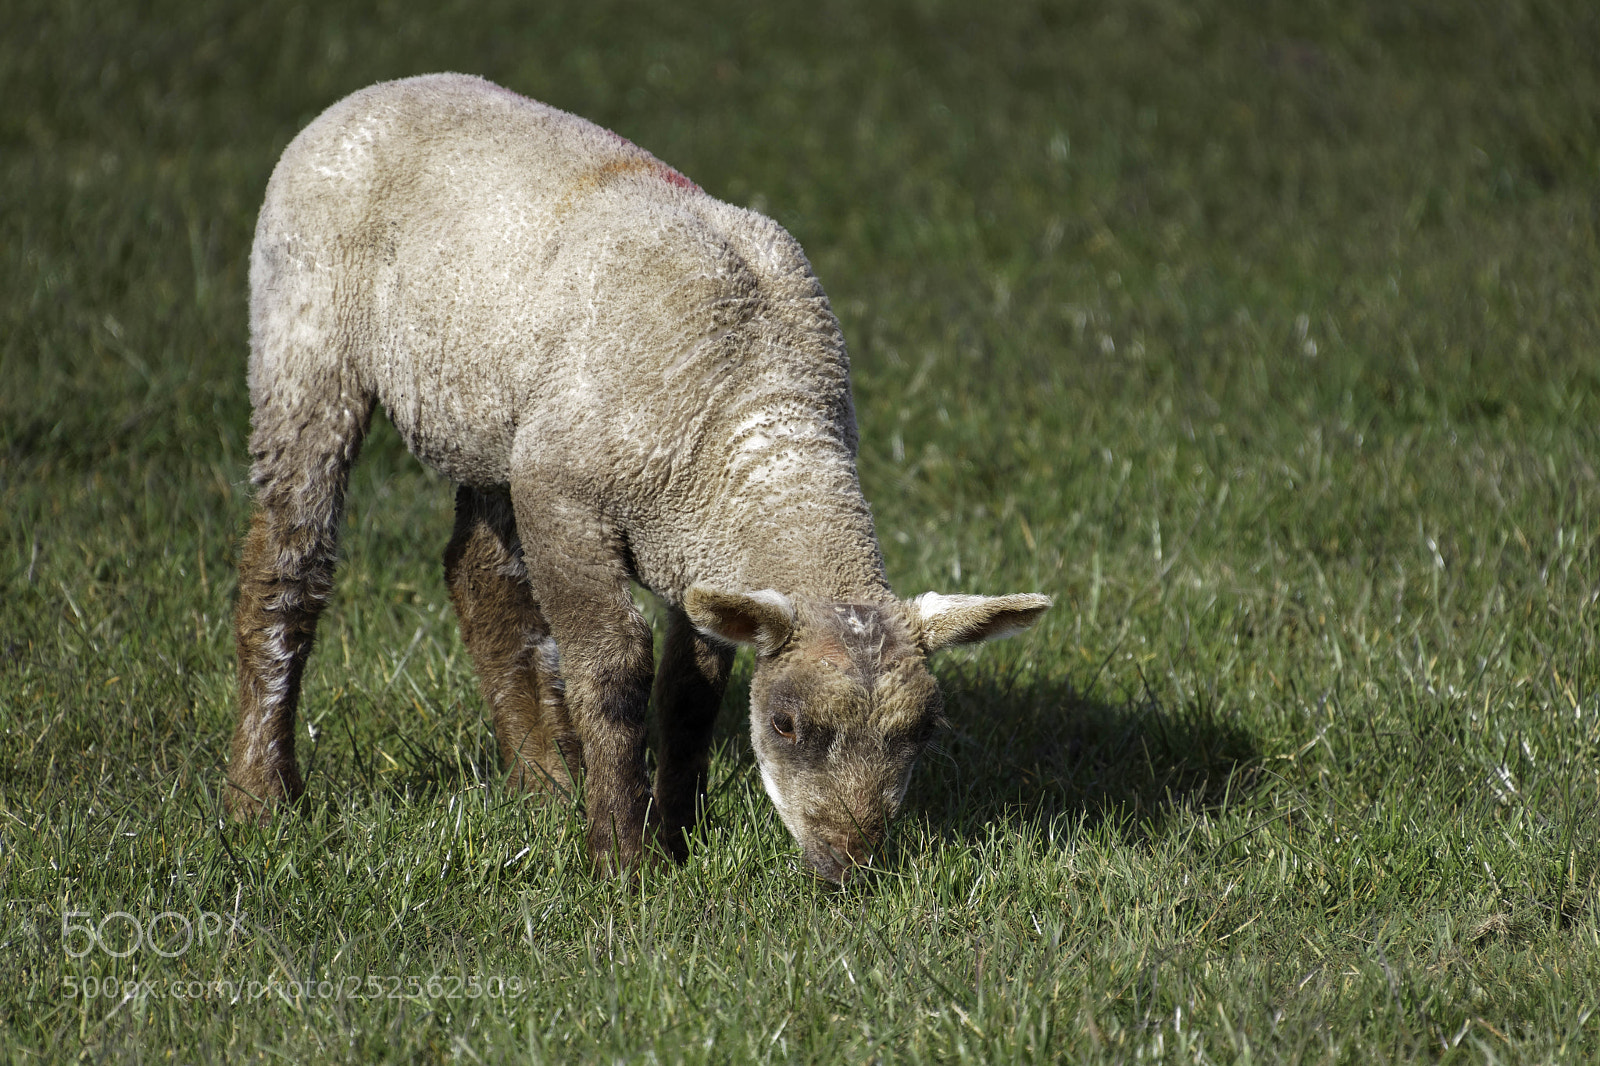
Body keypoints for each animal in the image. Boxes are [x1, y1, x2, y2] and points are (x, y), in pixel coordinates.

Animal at [227, 73, 1050, 881]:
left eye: (925, 730)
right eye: (786, 724)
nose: (849, 871)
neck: (757, 410)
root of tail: (378, 89)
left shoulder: (700, 549)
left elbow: (690, 694)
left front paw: (677, 831)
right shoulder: (567, 499)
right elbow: (614, 672)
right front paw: (623, 860)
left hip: (497, 423)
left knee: (479, 578)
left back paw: (545, 779)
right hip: (306, 337)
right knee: (288, 563)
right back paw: (261, 796)